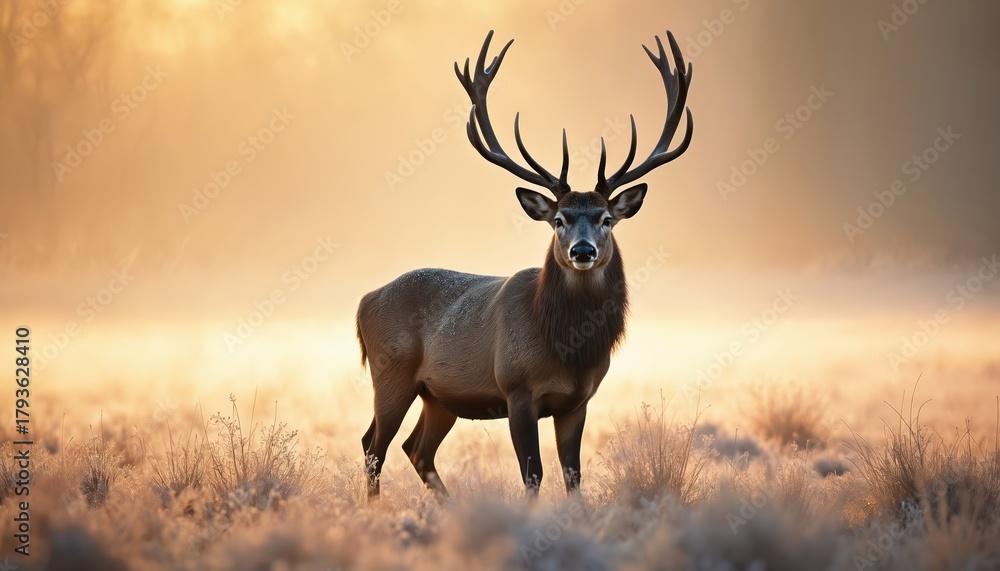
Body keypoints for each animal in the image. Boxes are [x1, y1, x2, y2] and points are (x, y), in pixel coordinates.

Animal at [356, 29, 693, 498]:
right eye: (559, 219)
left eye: (606, 219)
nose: (583, 251)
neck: (568, 347)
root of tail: (364, 301)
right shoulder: (516, 388)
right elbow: (532, 474)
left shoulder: (579, 399)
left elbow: (572, 475)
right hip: (391, 372)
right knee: (375, 445)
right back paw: (374, 507)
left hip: (439, 396)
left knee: (414, 448)